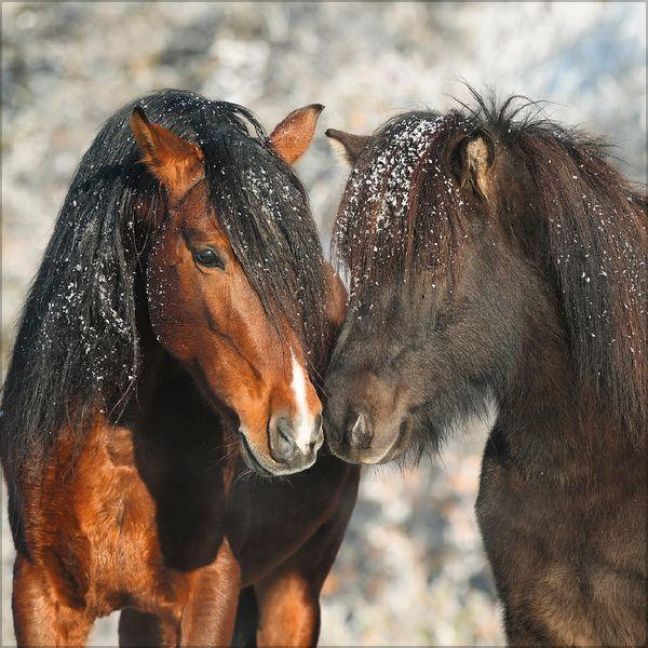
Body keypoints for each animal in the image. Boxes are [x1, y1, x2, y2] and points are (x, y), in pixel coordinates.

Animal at [1, 89, 359, 646]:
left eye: (295, 263)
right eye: (207, 254)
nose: (299, 431)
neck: (114, 448)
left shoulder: (210, 591)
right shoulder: (41, 594)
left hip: (294, 586)